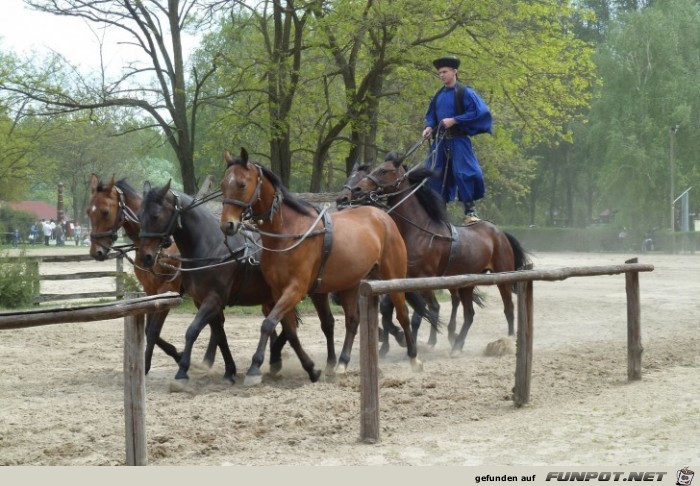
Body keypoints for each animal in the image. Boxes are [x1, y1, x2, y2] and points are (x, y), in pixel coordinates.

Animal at [221, 148, 424, 384]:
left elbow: (268, 324)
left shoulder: (296, 289)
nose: (227, 225)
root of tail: (382, 216)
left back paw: (414, 358)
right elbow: (292, 332)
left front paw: (255, 368)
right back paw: (342, 363)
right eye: (223, 184)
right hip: (351, 284)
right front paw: (313, 368)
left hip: (393, 279)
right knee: (352, 321)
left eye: (242, 184)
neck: (288, 231)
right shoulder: (280, 291)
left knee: (402, 315)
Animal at [342, 153, 528, 354]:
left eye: (383, 170)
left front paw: (409, 342)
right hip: (467, 282)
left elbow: (421, 313)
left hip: (503, 277)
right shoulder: (399, 279)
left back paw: (508, 340)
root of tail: (500, 233)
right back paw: (457, 344)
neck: (418, 230)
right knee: (468, 313)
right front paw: (398, 339)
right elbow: (393, 309)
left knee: (508, 308)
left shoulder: (422, 279)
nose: (354, 191)